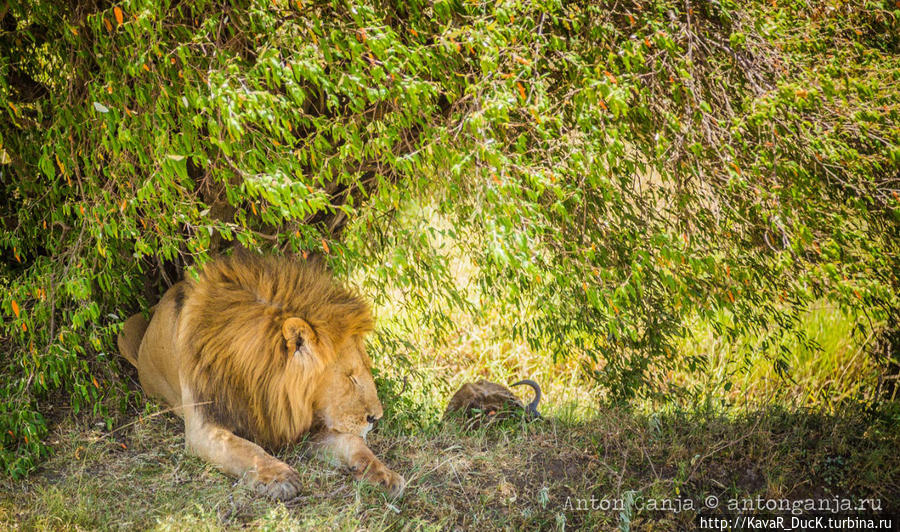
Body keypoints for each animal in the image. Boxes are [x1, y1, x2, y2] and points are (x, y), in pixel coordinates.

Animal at [117, 252, 404, 498]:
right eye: (350, 376)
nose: (375, 418)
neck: (261, 383)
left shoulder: (300, 424)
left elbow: (355, 444)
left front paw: (384, 474)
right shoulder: (203, 426)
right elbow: (245, 448)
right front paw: (279, 476)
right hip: (124, 333)